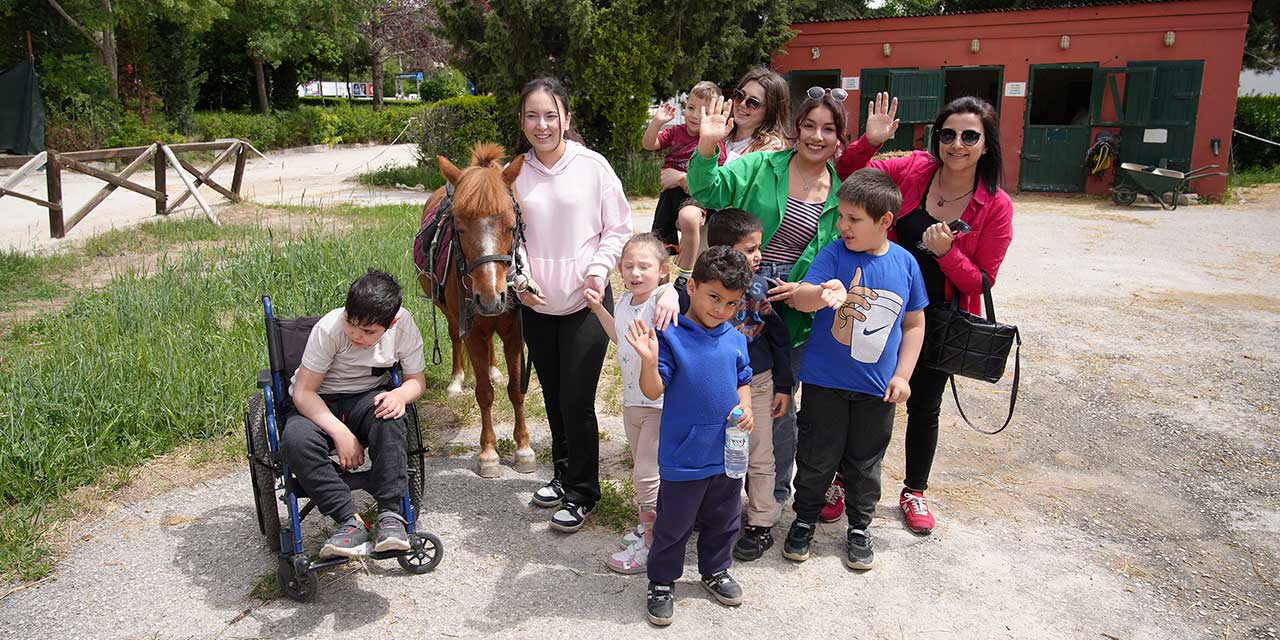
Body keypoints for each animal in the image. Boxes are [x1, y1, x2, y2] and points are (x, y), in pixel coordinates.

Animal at [417, 142, 532, 478]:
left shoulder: (515, 331)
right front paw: (488, 453)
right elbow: (484, 394)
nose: (490, 298)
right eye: (460, 228)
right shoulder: (472, 331)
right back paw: (456, 381)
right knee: (455, 337)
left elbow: (516, 390)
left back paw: (494, 368)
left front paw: (523, 449)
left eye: (511, 226)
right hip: (451, 315)